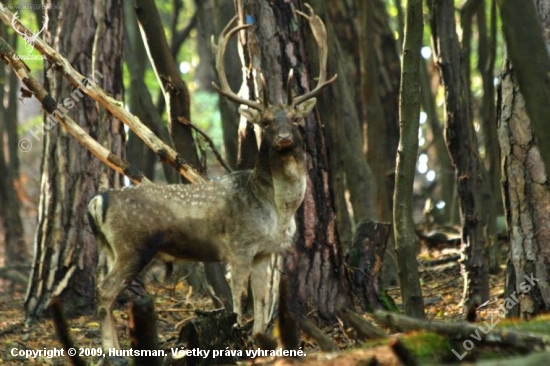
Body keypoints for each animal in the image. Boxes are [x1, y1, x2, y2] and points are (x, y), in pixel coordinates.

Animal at [87, 5, 336, 348]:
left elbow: (261, 301)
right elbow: (239, 299)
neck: (277, 209)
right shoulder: (238, 246)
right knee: (104, 292)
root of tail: (98, 200)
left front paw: (260, 340)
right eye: (267, 122)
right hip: (132, 246)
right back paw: (112, 350)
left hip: (109, 248)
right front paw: (238, 335)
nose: (284, 138)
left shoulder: (264, 252)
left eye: (296, 120)